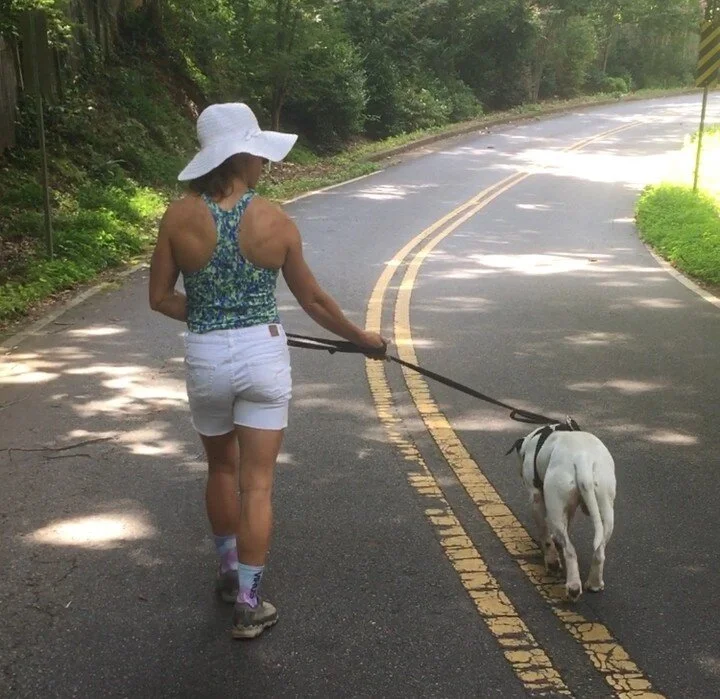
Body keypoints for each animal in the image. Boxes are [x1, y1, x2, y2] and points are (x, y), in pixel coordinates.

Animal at [507, 419, 616, 601]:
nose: (520, 474)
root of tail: (582, 459)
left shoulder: (536, 500)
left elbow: (544, 535)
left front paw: (551, 559)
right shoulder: (569, 507)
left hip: (555, 510)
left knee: (570, 551)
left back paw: (573, 586)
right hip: (606, 511)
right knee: (599, 551)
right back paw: (594, 583)